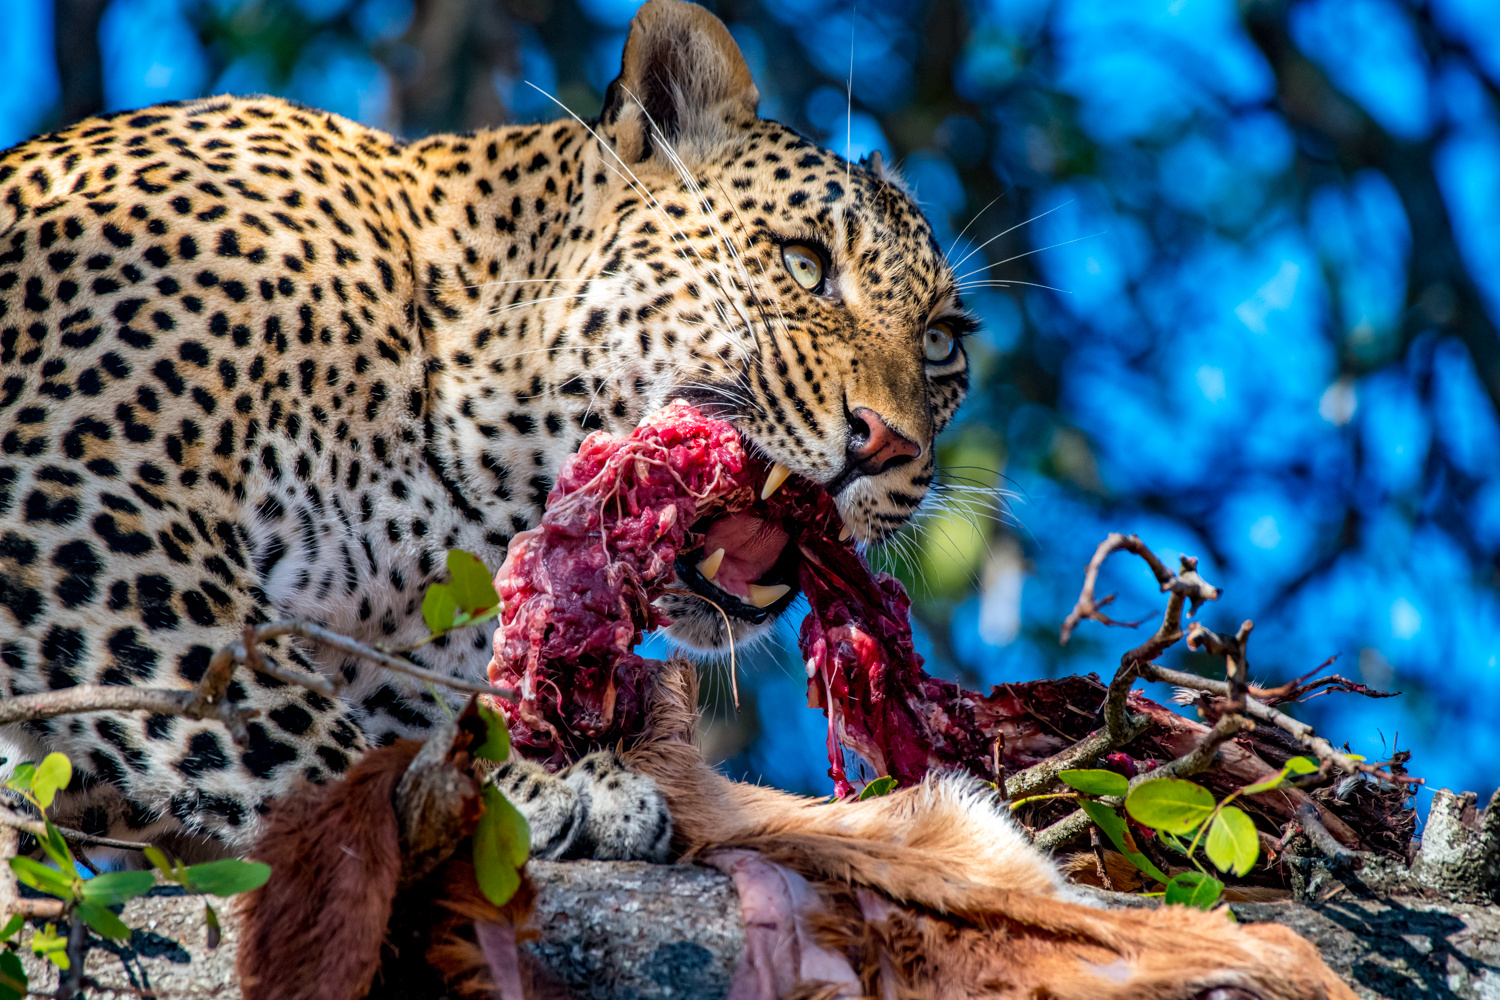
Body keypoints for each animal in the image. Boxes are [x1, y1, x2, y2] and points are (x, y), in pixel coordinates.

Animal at [0, 0, 972, 863]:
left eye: (941, 345)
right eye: (804, 263)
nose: (889, 443)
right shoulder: (80, 486)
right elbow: (275, 717)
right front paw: (527, 800)